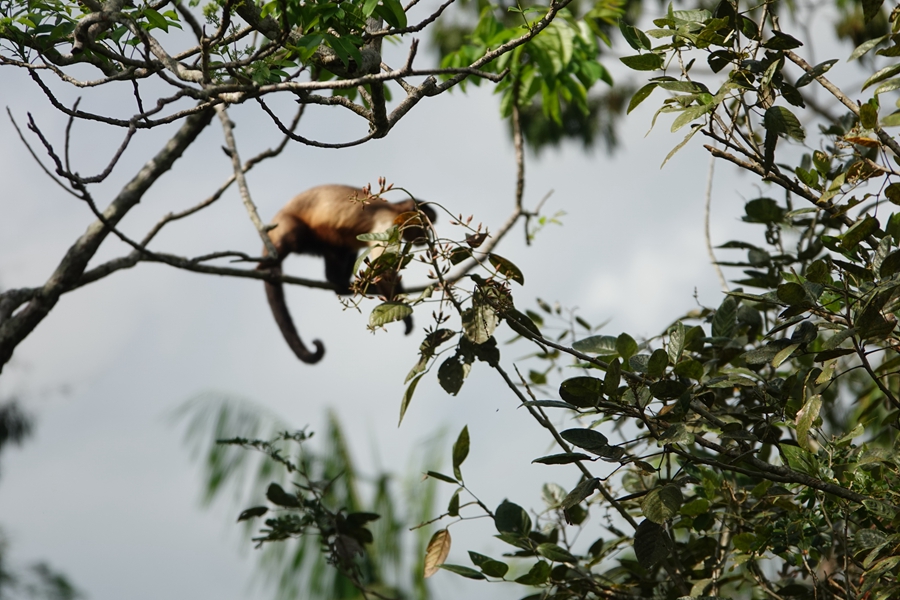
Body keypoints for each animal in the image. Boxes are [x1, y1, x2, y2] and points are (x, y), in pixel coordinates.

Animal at [256, 183, 436, 364]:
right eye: (425, 226)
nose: (427, 235)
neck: (394, 210)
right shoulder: (388, 224)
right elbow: (383, 272)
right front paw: (406, 318)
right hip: (288, 226)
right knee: (295, 237)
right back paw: (265, 266)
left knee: (342, 248)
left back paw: (341, 284)